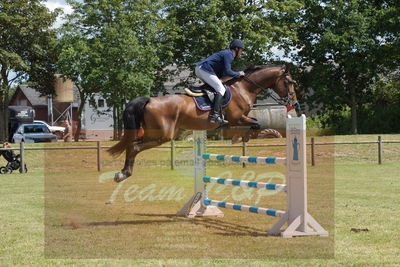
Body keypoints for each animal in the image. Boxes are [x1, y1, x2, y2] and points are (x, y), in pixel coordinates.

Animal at [108, 63, 302, 183]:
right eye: (289, 82)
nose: (294, 103)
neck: (243, 88)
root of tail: (149, 100)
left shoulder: (235, 121)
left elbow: (255, 123)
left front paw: (241, 138)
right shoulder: (236, 119)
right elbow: (257, 124)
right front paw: (242, 138)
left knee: (131, 145)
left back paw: (122, 173)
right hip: (161, 135)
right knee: (134, 146)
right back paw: (123, 174)